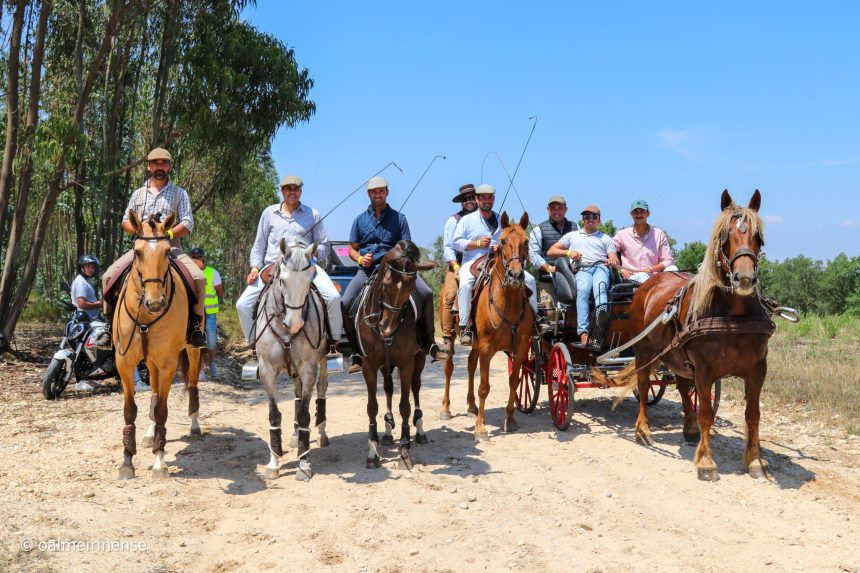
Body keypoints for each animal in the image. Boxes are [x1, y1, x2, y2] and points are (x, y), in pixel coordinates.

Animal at [114, 210, 202, 479]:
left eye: (166, 252)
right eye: (137, 252)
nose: (155, 302)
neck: (145, 316)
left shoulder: (167, 363)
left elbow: (163, 410)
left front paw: (159, 462)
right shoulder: (124, 363)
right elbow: (130, 410)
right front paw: (127, 461)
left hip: (192, 350)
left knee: (193, 384)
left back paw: (195, 424)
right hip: (149, 361)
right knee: (153, 392)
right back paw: (149, 432)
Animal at [253, 238, 330, 481]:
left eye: (308, 281)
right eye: (282, 280)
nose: (295, 324)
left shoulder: (308, 368)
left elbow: (305, 414)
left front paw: (304, 463)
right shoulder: (267, 371)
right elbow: (274, 415)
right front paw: (273, 462)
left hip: (321, 362)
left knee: (321, 392)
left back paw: (322, 433)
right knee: (296, 394)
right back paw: (295, 437)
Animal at [354, 240, 437, 469]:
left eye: (411, 287)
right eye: (386, 283)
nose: (387, 328)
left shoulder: (406, 362)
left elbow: (405, 406)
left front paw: (405, 450)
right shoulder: (369, 366)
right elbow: (372, 406)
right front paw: (373, 451)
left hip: (419, 359)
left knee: (416, 388)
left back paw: (420, 431)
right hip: (385, 365)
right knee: (389, 388)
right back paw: (388, 431)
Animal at [466, 212, 535, 441]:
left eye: (526, 241)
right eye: (503, 241)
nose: (515, 275)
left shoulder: (520, 348)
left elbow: (514, 381)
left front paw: (510, 420)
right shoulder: (487, 348)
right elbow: (484, 387)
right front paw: (480, 429)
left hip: (476, 345)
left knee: (470, 365)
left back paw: (471, 406)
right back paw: (447, 409)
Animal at [609, 189, 776, 481]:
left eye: (758, 236)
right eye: (725, 236)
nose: (744, 279)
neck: (733, 316)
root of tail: (647, 284)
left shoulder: (757, 369)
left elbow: (752, 414)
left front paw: (755, 461)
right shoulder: (705, 369)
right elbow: (707, 413)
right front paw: (706, 462)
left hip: (676, 355)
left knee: (682, 386)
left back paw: (689, 428)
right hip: (644, 351)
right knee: (644, 384)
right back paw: (643, 430)